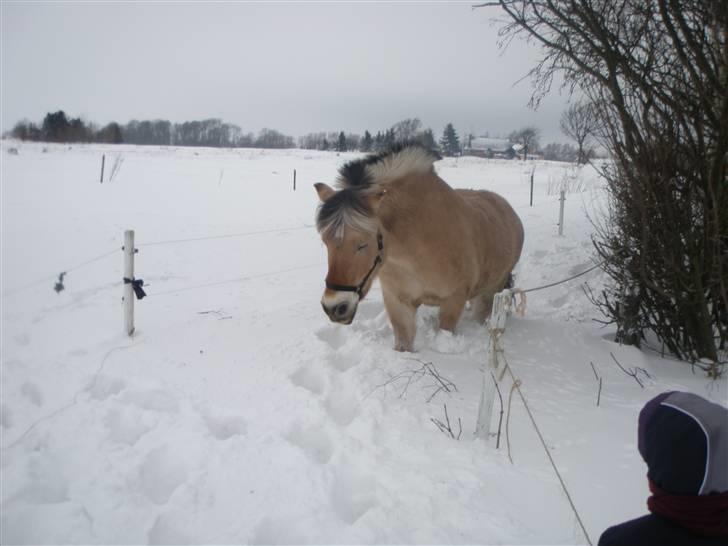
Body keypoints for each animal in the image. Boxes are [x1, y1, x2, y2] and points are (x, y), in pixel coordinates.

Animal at [312, 142, 524, 350]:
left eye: (362, 244)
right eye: (325, 241)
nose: (334, 307)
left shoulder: (453, 301)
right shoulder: (398, 302)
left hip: (491, 291)